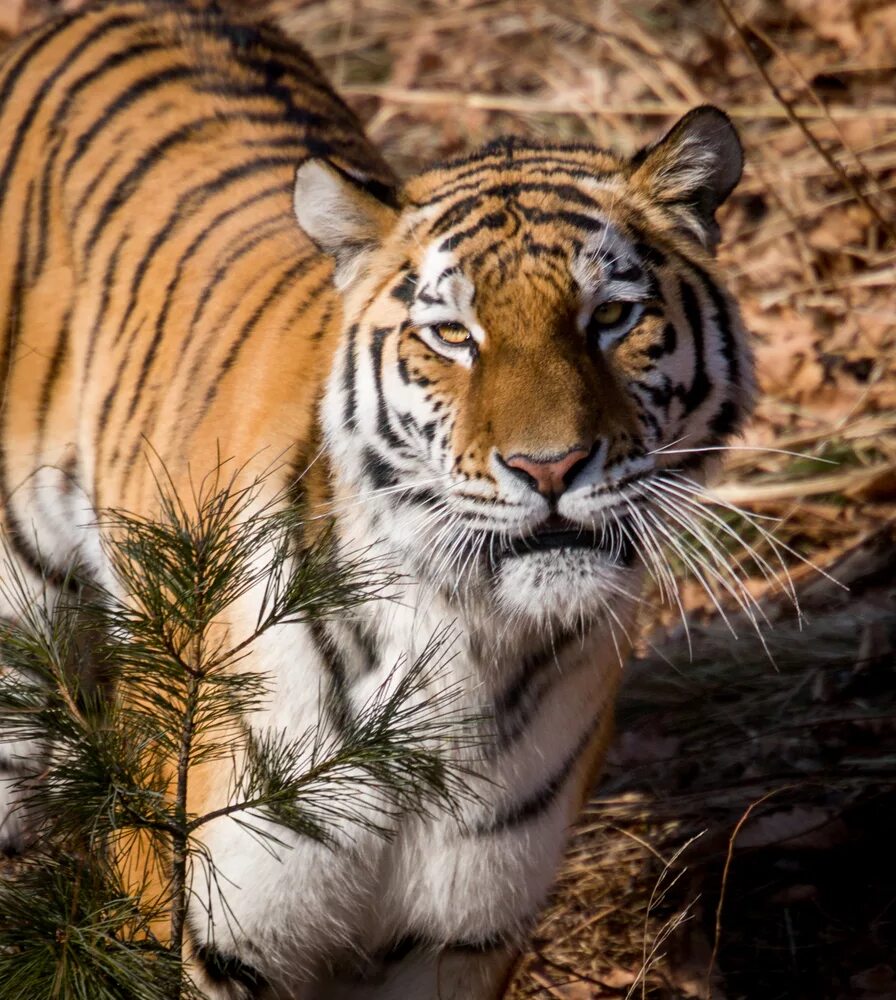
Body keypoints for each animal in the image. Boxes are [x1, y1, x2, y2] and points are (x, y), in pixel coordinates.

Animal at [0, 0, 756, 996]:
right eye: (453, 335)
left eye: (611, 317)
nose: (551, 467)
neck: (467, 646)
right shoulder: (200, 922)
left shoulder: (461, 939)